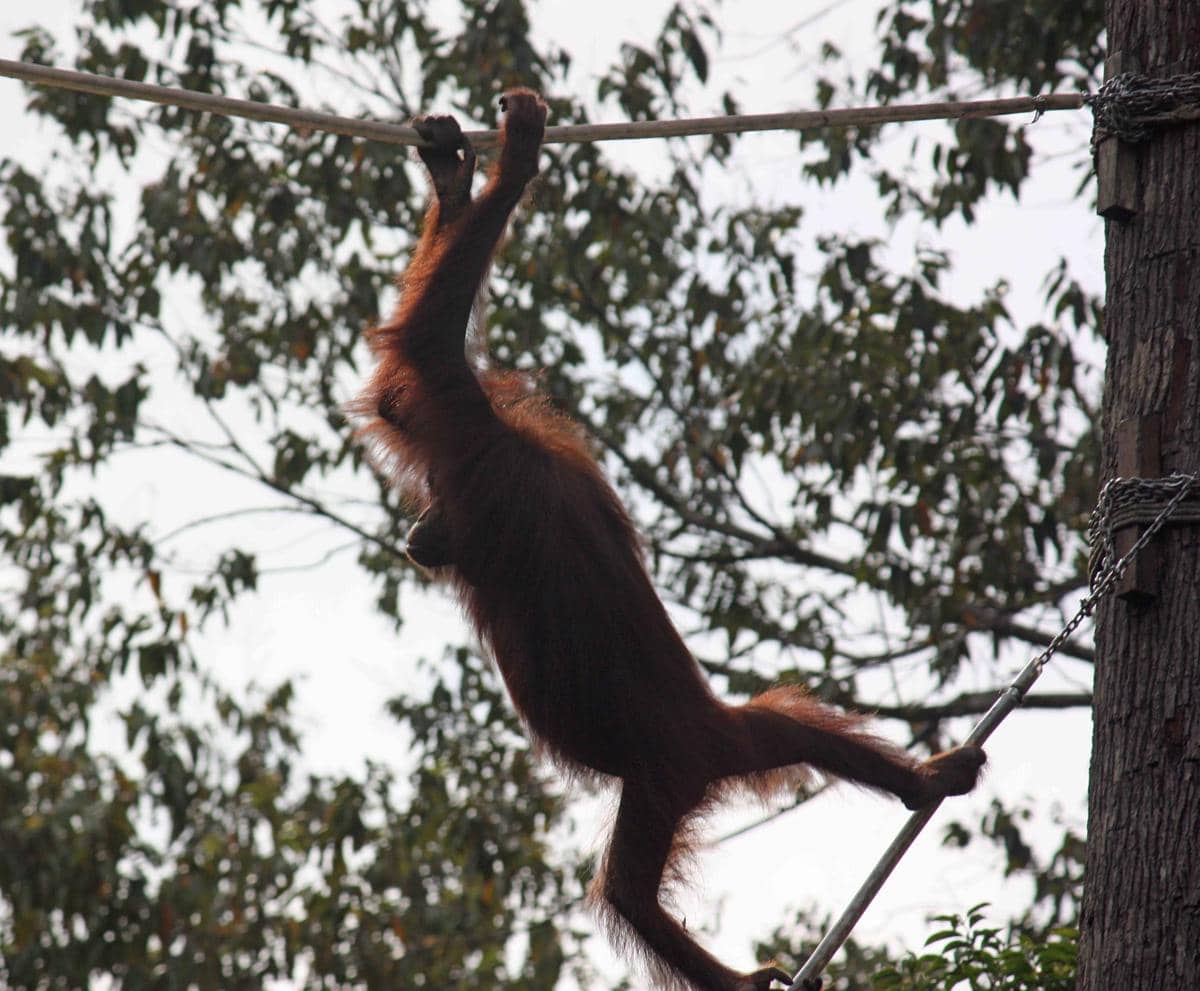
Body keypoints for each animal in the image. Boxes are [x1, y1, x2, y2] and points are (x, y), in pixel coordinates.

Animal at [351, 89, 986, 991]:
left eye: (437, 498)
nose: (417, 530)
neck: (512, 444)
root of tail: (711, 742)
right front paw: (457, 177)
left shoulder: (465, 425)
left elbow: (426, 345)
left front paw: (511, 162)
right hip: (733, 739)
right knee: (784, 725)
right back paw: (920, 780)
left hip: (659, 777)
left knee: (626, 890)